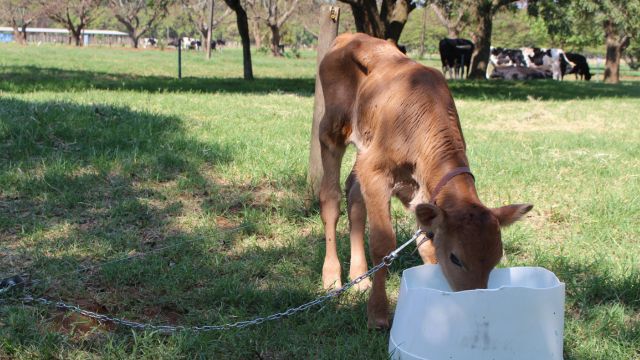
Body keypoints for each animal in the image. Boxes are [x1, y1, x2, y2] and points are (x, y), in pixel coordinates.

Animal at [318, 33, 532, 330]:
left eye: (496, 257)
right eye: (456, 258)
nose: (473, 299)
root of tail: (350, 36)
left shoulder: (419, 193)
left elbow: (428, 248)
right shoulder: (376, 171)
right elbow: (383, 242)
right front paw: (378, 313)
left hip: (362, 151)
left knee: (355, 197)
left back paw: (360, 279)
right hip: (332, 130)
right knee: (331, 199)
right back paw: (332, 277)